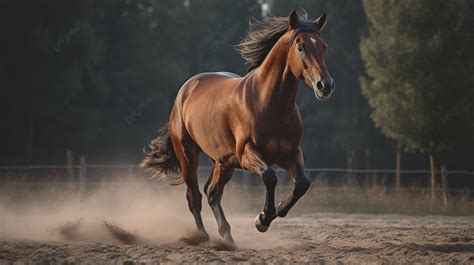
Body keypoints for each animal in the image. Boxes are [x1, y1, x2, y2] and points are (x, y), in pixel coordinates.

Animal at [140, 9, 334, 245]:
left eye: (323, 46)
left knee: (212, 192)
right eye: (300, 47)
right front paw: (263, 219)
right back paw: (203, 236)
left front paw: (276, 210)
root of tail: (185, 90)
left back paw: (227, 235)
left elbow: (302, 184)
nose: (325, 85)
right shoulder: (247, 153)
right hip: (188, 154)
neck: (269, 103)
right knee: (194, 196)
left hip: (224, 162)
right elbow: (270, 177)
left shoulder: (290, 154)